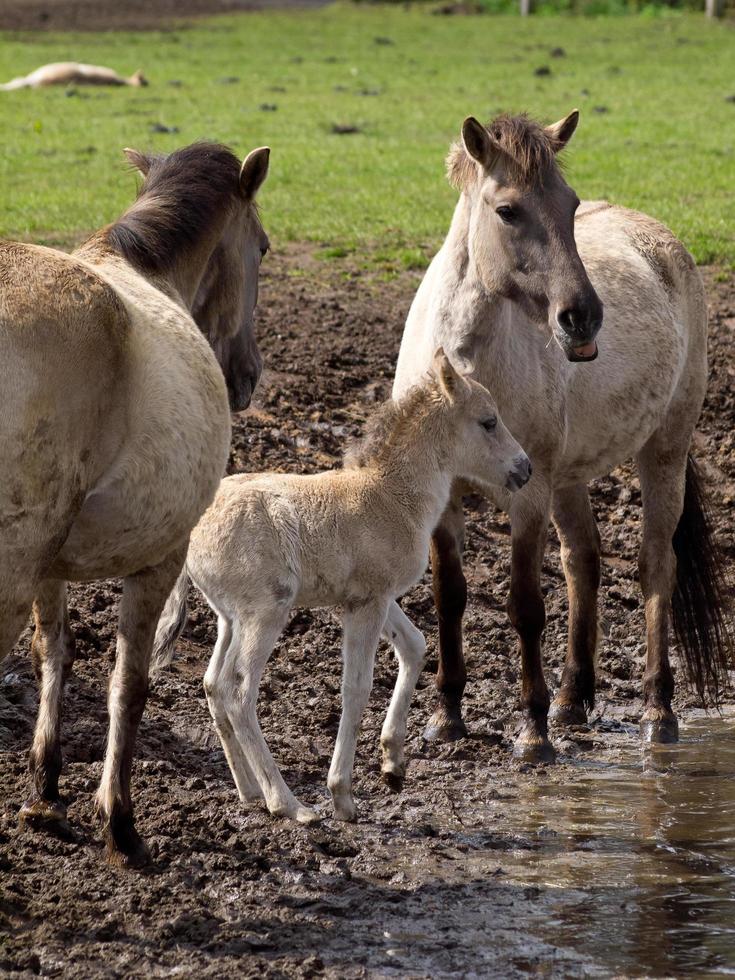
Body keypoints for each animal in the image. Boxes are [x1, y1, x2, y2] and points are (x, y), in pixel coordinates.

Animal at [1, 140, 272, 864]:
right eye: (263, 247)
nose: (247, 377)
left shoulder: (49, 568)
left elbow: (55, 654)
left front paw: (44, 790)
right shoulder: (161, 558)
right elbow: (129, 684)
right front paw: (119, 821)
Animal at [151, 348, 528, 824]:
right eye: (489, 421)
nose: (525, 468)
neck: (390, 496)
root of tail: (192, 532)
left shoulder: (371, 597)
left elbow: (415, 646)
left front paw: (393, 764)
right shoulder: (367, 603)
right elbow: (356, 687)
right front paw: (343, 795)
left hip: (229, 618)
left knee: (214, 684)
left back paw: (249, 790)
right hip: (265, 612)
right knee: (238, 691)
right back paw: (288, 803)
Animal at [396, 111, 735, 760]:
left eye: (570, 203)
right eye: (507, 210)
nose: (582, 317)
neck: (466, 369)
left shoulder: (528, 496)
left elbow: (526, 605)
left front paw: (532, 734)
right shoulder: (444, 499)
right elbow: (450, 595)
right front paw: (447, 717)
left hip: (663, 451)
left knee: (655, 565)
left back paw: (656, 711)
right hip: (569, 478)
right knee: (583, 559)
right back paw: (572, 701)